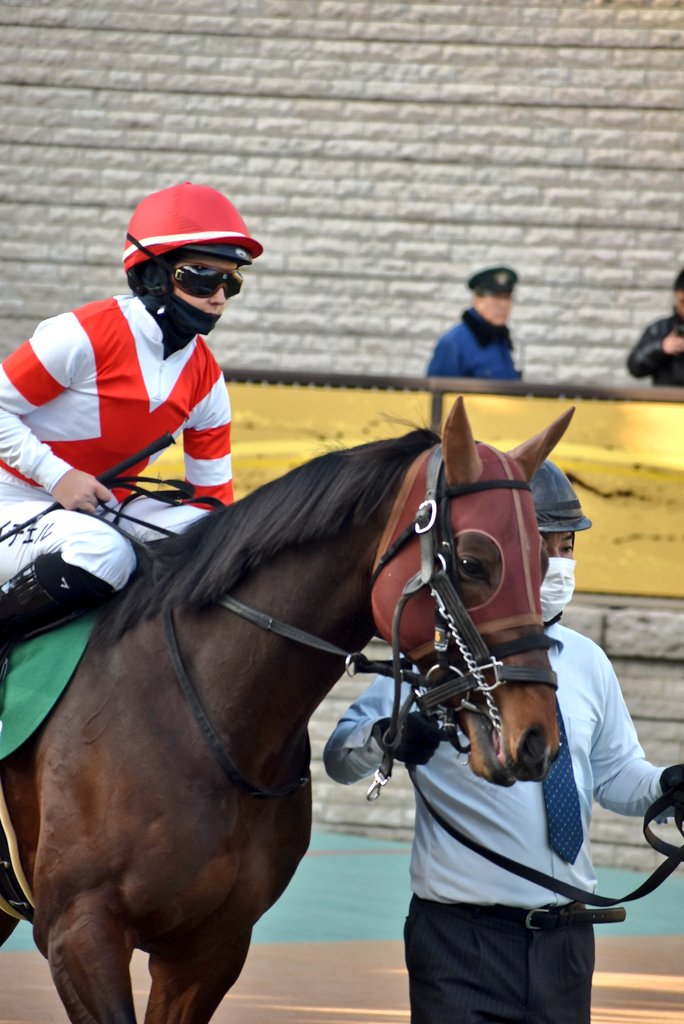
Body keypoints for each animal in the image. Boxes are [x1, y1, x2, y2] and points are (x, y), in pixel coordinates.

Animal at [0, 396, 572, 1023]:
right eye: (473, 563)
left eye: (543, 563)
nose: (536, 736)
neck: (204, 720)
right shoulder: (80, 931)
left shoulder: (212, 946)